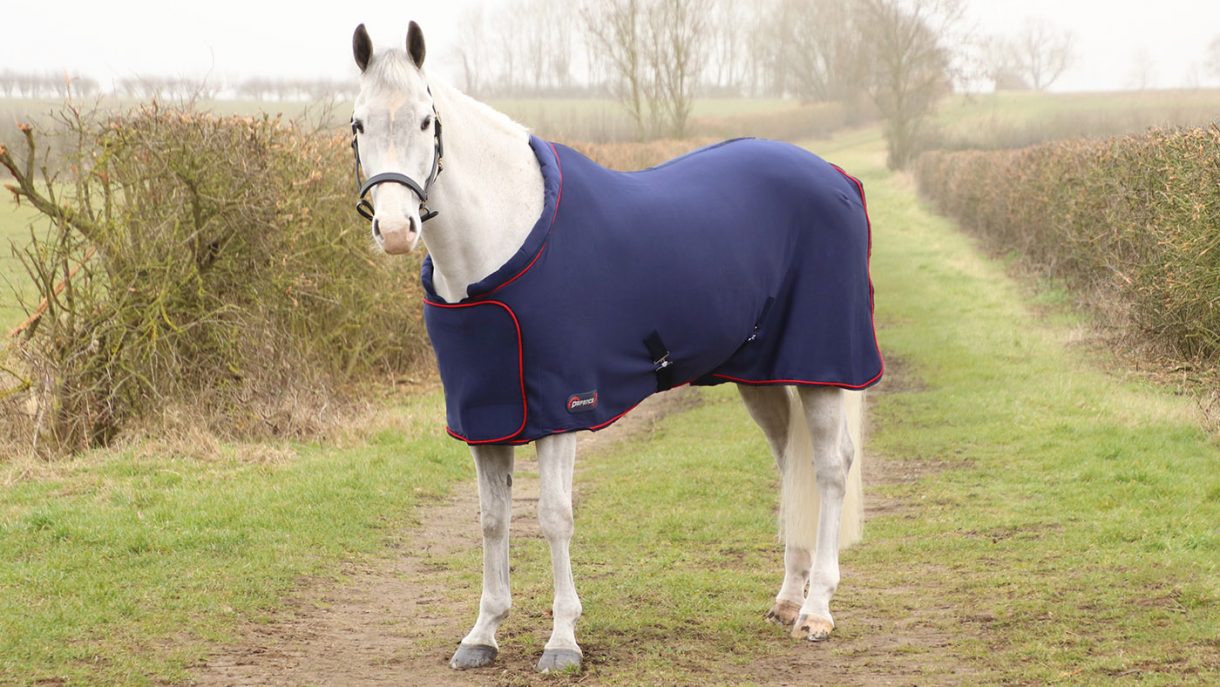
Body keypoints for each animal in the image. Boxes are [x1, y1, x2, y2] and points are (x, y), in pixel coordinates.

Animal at [347, 22, 881, 673]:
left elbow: (553, 518)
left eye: (427, 121)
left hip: (822, 368)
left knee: (829, 469)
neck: (499, 243)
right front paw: (483, 633)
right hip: (765, 377)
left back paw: (817, 610)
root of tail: (836, 176)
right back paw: (787, 600)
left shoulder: (561, 410)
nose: (397, 231)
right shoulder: (488, 418)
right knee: (791, 466)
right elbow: (492, 520)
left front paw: (562, 641)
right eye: (358, 124)